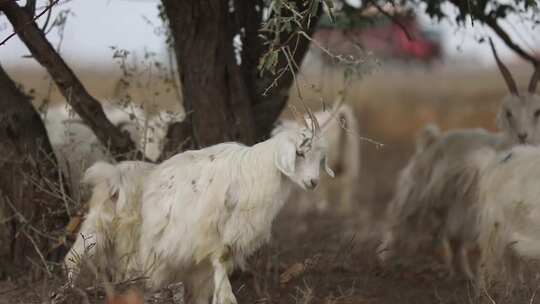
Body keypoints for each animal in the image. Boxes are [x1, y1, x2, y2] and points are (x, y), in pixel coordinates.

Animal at [137, 115, 334, 302]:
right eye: (299, 153)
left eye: (321, 157)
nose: (313, 182)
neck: (260, 170)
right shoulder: (214, 233)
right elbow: (220, 260)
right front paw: (226, 297)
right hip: (161, 249)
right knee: (159, 277)